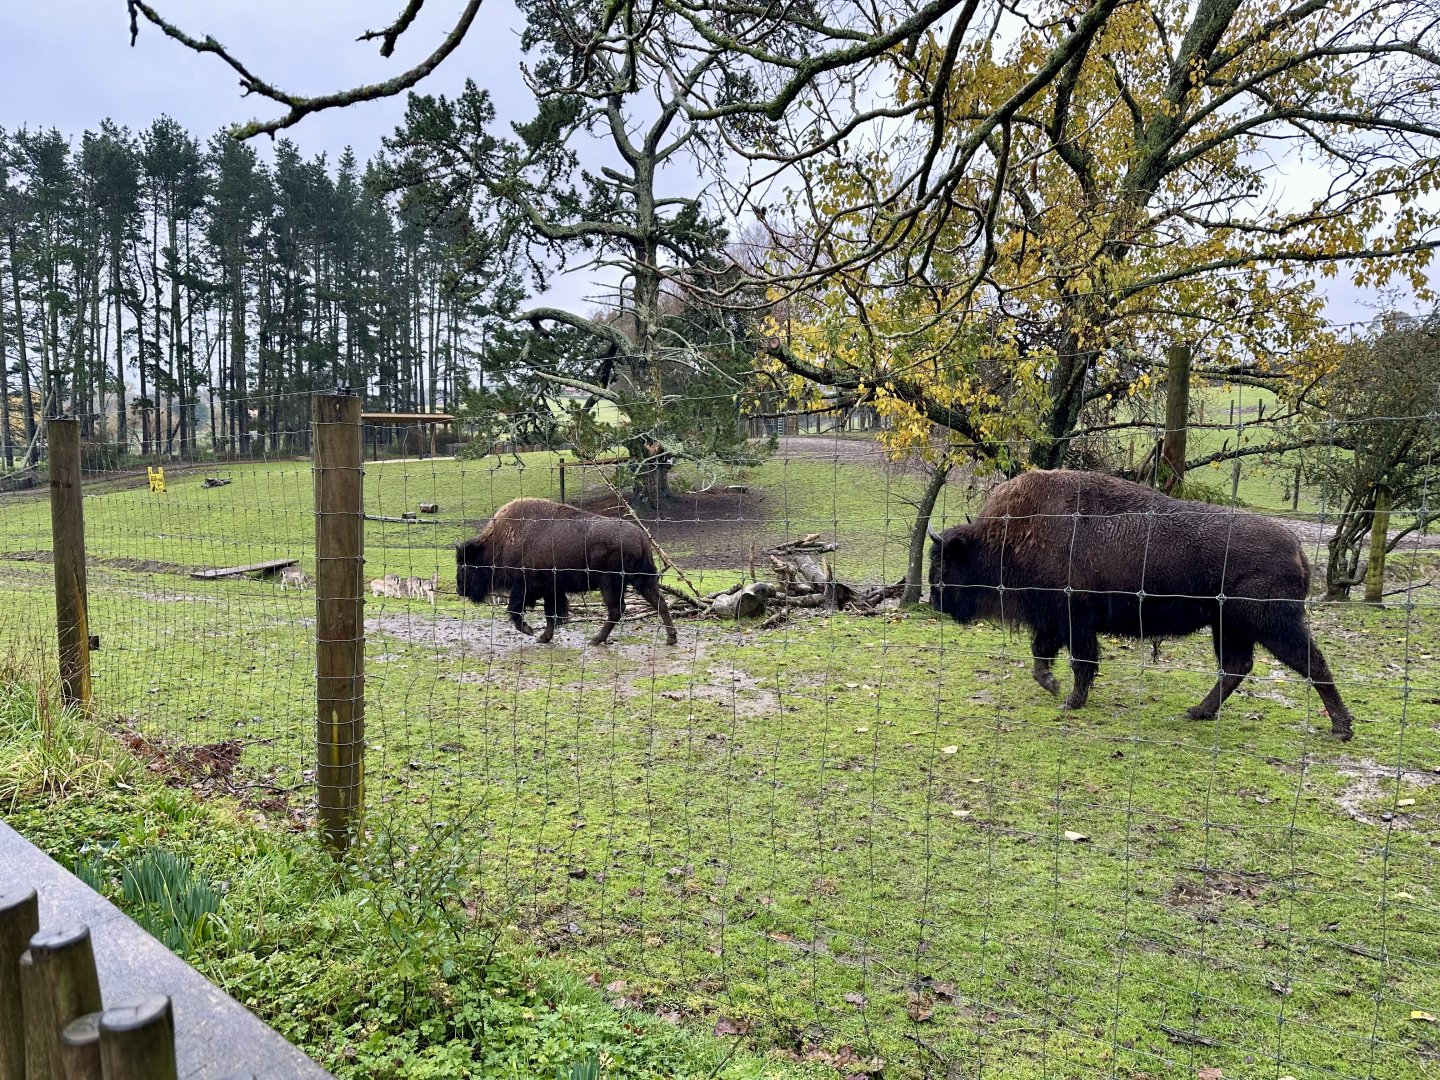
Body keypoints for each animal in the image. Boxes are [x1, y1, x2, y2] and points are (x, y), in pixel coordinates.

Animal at [456, 497, 677, 646]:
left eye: (466, 565)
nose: (459, 589)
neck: (500, 541)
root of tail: (641, 536)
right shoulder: (551, 589)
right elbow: (551, 614)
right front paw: (543, 637)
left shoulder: (527, 587)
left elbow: (516, 609)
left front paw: (530, 631)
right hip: (641, 581)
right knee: (659, 602)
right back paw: (671, 638)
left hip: (610, 583)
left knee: (617, 609)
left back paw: (596, 639)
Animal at [928, 470, 1356, 739]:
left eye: (944, 564)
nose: (935, 602)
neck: (1006, 537)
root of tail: (1297, 550)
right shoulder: (1052, 622)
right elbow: (1042, 655)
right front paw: (1052, 685)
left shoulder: (1074, 621)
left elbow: (1081, 661)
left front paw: (1070, 701)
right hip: (1228, 626)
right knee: (1237, 666)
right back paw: (1197, 712)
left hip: (1271, 624)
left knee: (1312, 663)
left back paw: (1341, 729)